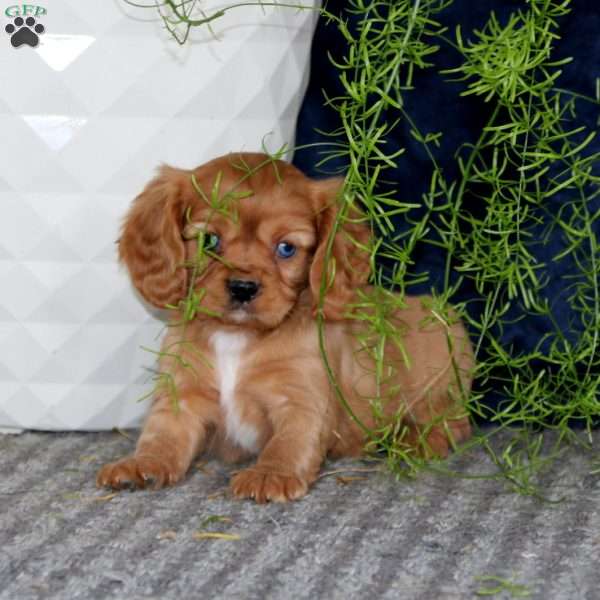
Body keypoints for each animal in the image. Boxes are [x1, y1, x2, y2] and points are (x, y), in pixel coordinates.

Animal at [98, 151, 474, 502]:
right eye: (210, 242)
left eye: (286, 248)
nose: (243, 287)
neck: (236, 336)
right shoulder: (182, 393)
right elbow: (161, 434)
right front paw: (141, 464)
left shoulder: (301, 399)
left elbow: (290, 440)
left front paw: (270, 474)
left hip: (439, 377)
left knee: (453, 423)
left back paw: (416, 441)